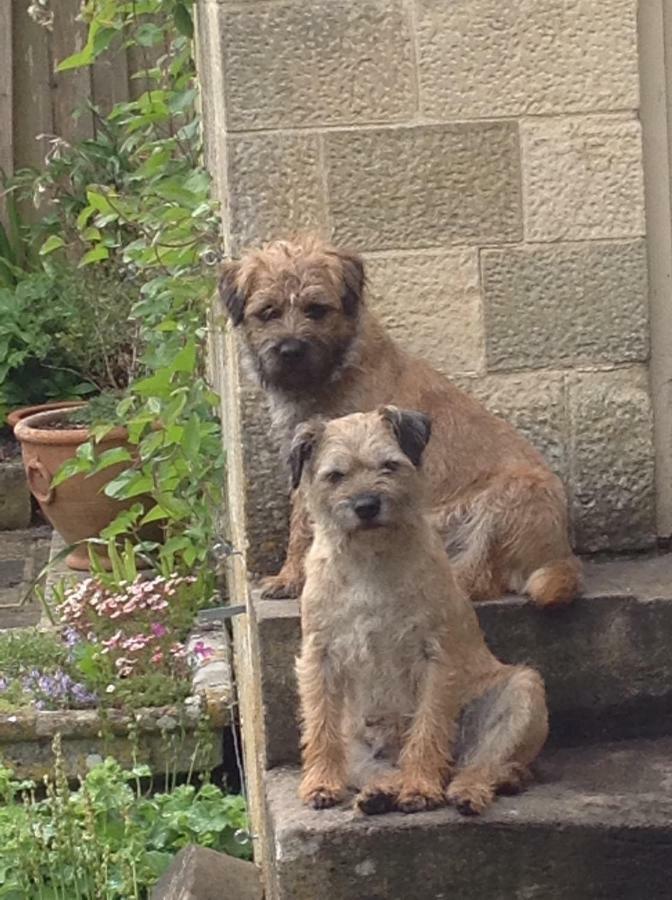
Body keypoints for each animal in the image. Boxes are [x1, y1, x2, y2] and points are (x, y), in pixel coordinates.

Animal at [220, 237, 584, 604]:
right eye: (268, 312)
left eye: (316, 309)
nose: (290, 351)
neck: (336, 370)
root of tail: (562, 556)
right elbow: (302, 522)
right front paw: (290, 576)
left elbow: (305, 525)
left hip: (511, 496)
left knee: (481, 575)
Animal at [292, 408, 544, 816]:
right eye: (336, 475)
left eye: (389, 465)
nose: (366, 505)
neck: (371, 561)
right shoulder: (319, 656)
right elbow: (320, 728)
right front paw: (321, 784)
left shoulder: (435, 656)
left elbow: (427, 726)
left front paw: (421, 787)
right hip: (356, 739)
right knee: (374, 766)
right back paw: (379, 792)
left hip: (522, 691)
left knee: (483, 764)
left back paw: (463, 791)